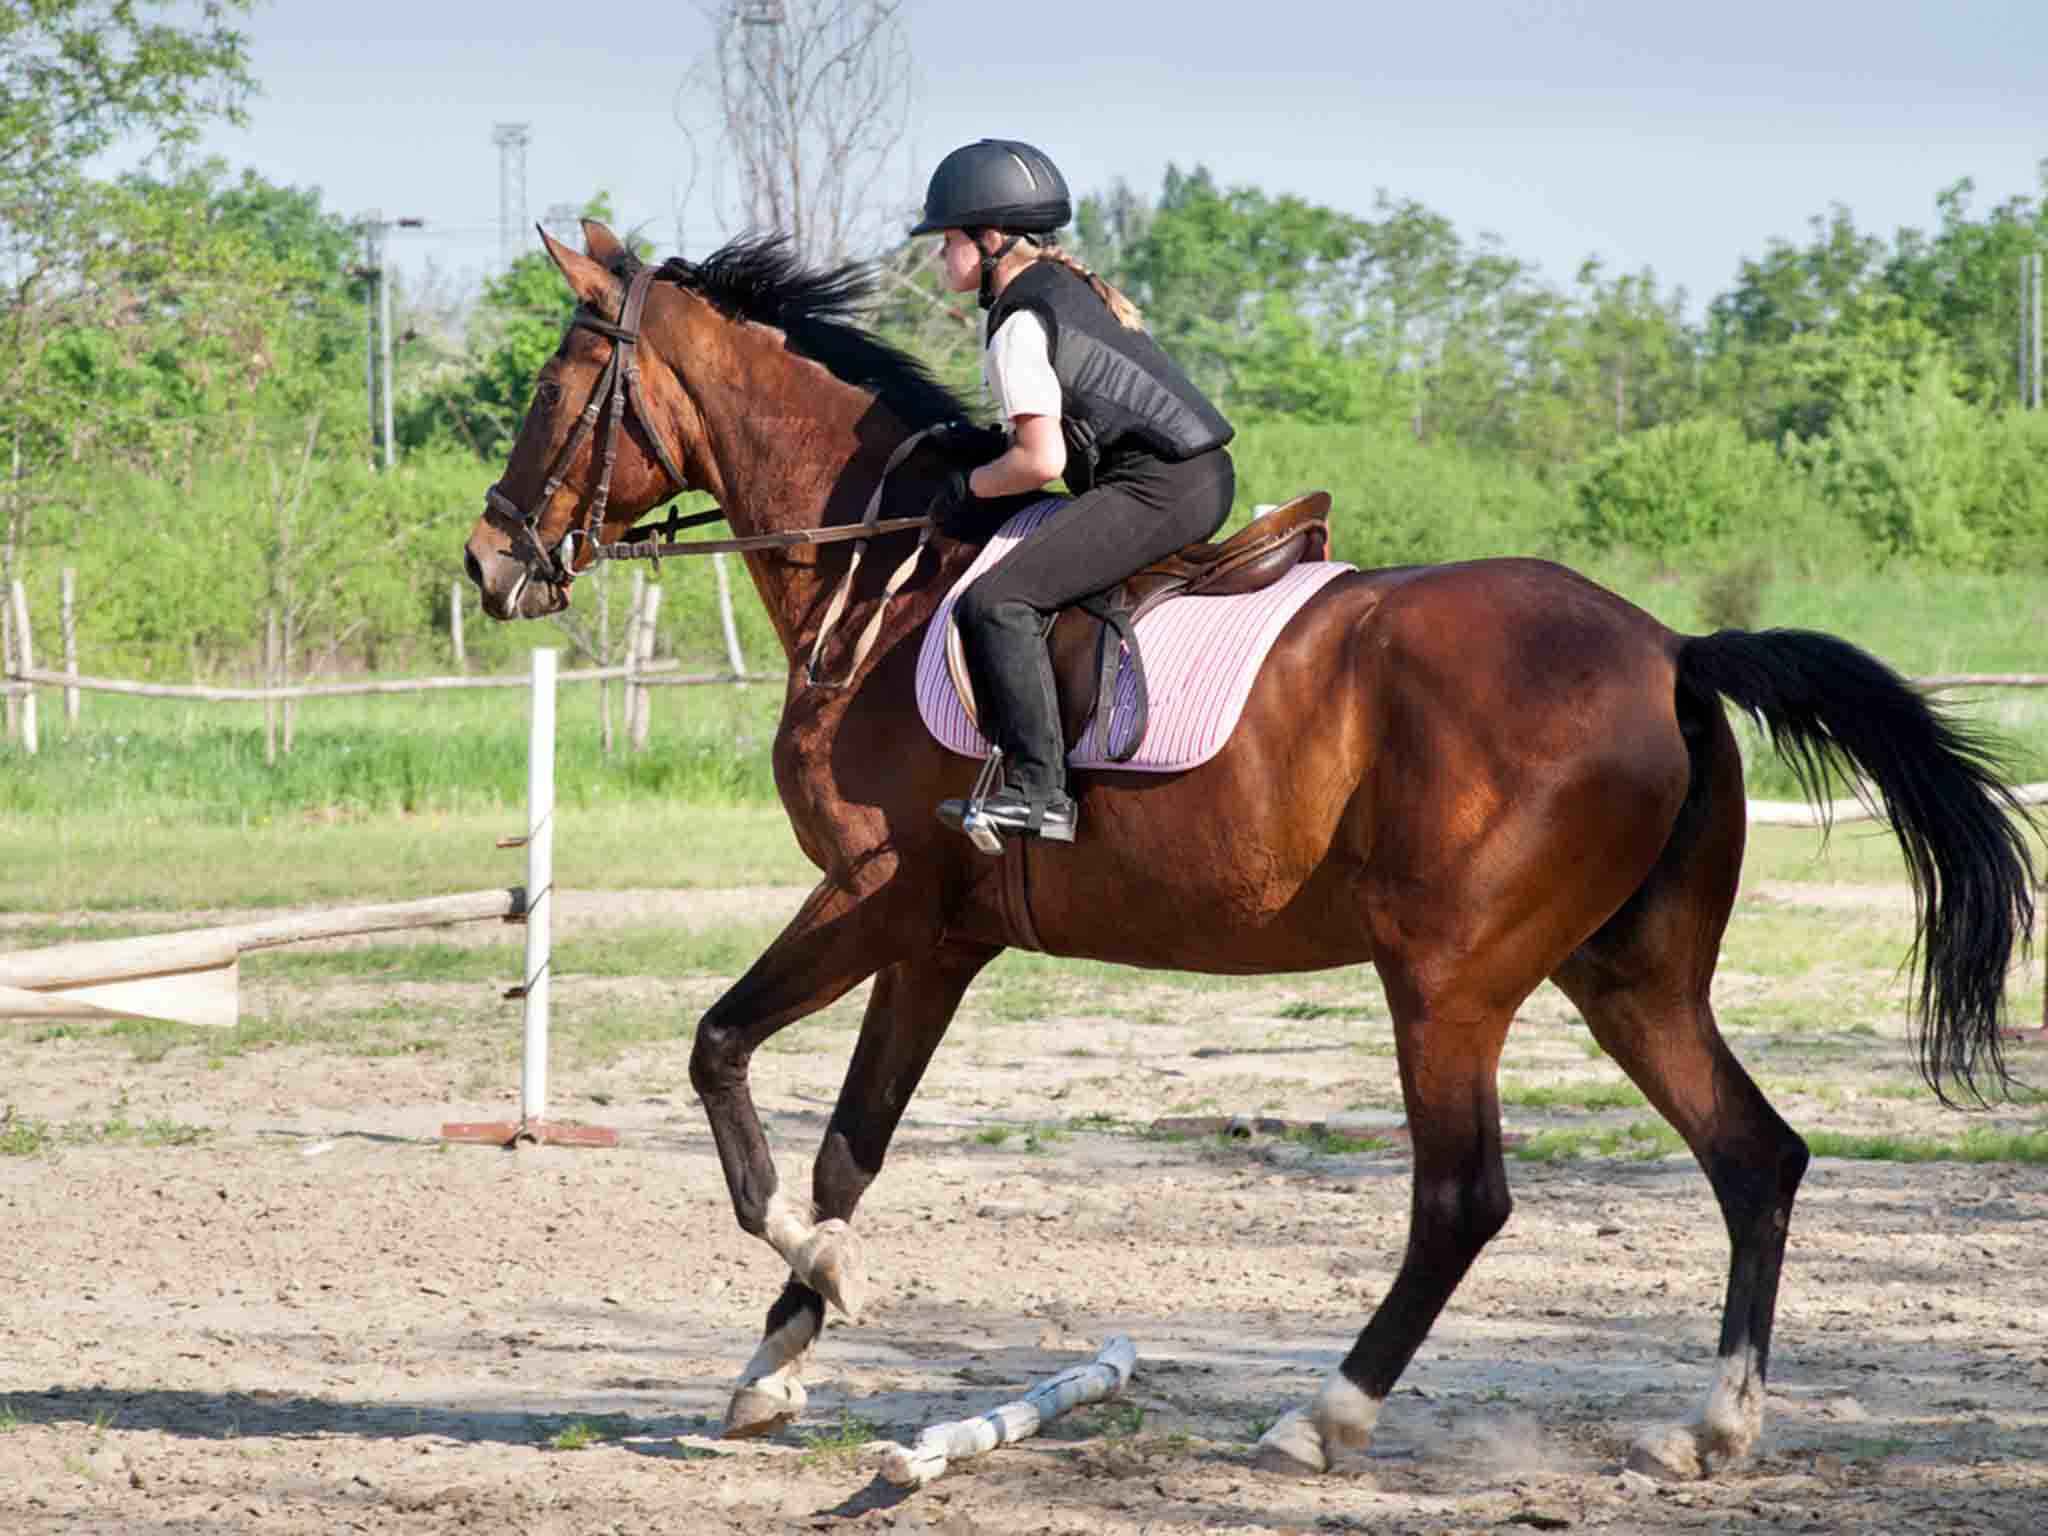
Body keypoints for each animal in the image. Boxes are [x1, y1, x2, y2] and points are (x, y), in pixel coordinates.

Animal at [460, 222, 2031, 1482]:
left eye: (549, 391)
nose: (488, 565)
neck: (885, 575)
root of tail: (1667, 652)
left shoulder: (873, 897)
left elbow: (719, 1049)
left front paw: (811, 1278)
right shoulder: (941, 938)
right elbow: (853, 1145)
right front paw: (780, 1359)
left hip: (1447, 980)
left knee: (1463, 1199)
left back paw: (1321, 1419)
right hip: (1627, 977)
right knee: (1754, 1157)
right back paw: (1711, 1431)